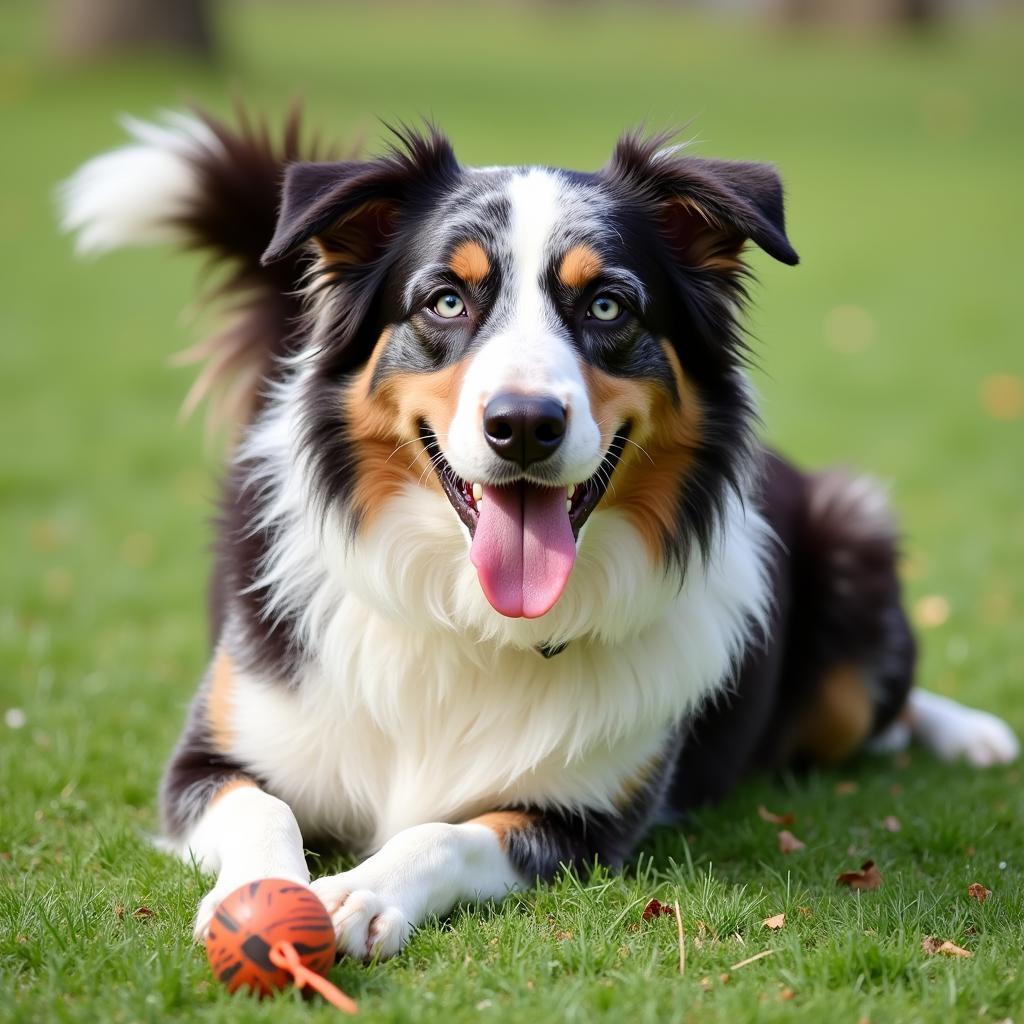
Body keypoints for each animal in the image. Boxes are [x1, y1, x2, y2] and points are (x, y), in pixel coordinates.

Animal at [61, 112, 1015, 958]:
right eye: (446, 300)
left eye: (608, 305)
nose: (524, 424)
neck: (468, 617)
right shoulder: (205, 760)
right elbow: (269, 807)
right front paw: (263, 894)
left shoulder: (583, 823)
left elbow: (445, 834)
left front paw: (361, 892)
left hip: (854, 555)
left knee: (886, 710)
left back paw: (972, 731)